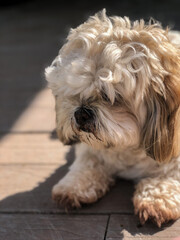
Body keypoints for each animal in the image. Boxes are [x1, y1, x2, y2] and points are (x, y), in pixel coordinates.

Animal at [45, 9, 180, 227]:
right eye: (76, 93)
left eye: (109, 97)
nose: (81, 112)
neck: (127, 149)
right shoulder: (89, 151)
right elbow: (87, 162)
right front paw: (73, 185)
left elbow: (168, 174)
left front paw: (156, 198)